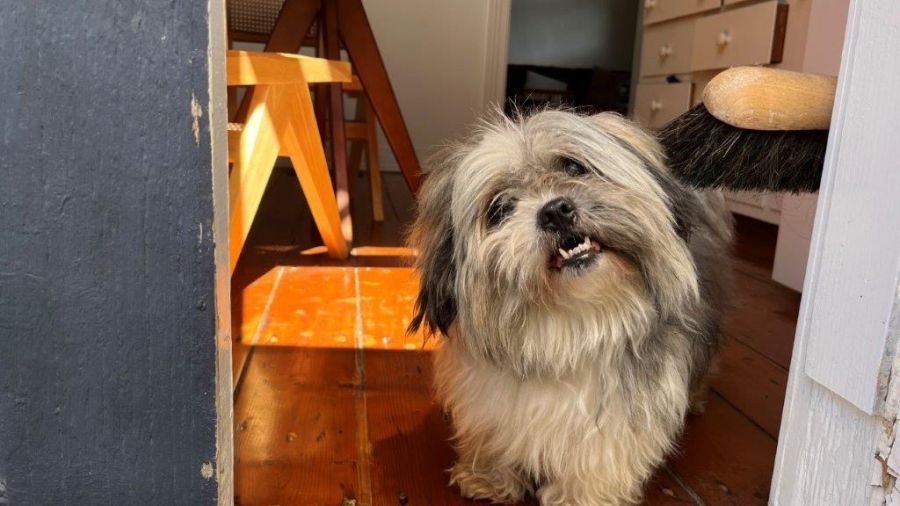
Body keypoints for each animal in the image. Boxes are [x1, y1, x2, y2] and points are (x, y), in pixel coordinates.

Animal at [408, 110, 733, 505]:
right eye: (499, 208)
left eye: (574, 167)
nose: (555, 212)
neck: (571, 323)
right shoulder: (488, 398)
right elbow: (494, 436)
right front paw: (488, 477)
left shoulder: (616, 420)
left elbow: (598, 459)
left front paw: (582, 497)